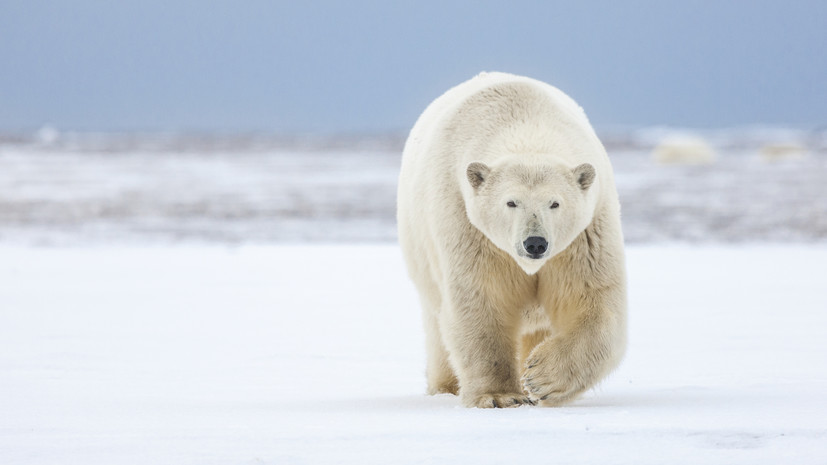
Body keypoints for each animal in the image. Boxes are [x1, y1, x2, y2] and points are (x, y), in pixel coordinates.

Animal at [396, 71, 628, 406]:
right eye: (511, 202)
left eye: (555, 203)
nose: (535, 243)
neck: (524, 122)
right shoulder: (468, 225)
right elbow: (481, 299)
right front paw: (499, 395)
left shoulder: (585, 235)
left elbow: (592, 299)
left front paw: (540, 378)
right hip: (423, 257)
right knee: (438, 327)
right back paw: (445, 387)